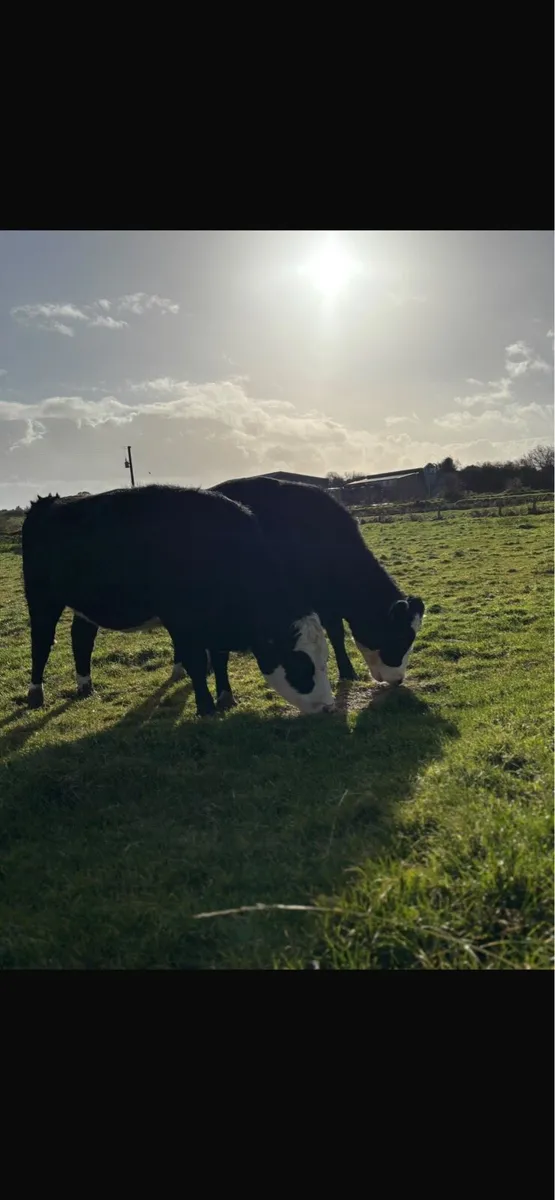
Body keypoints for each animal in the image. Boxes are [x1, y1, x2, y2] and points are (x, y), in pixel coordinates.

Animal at [21, 485, 334, 718]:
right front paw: (206, 707)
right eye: (301, 663)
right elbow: (196, 661)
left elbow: (219, 658)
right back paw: (35, 694)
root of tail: (50, 501)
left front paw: (226, 698)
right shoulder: (181, 619)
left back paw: (86, 686)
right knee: (41, 641)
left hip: (86, 604)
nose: (328, 707)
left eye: (325, 659)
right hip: (41, 598)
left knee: (81, 638)